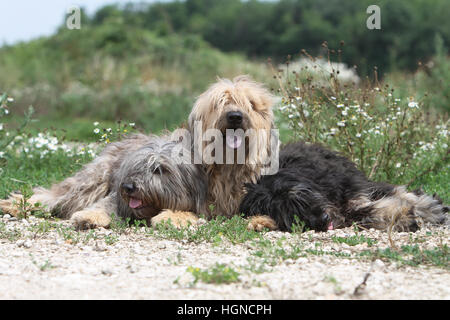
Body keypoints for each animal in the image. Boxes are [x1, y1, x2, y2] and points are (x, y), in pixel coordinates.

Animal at [0, 134, 207, 229]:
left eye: (159, 170)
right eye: (136, 167)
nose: (128, 187)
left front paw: (172, 217)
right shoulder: (117, 196)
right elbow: (105, 204)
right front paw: (90, 217)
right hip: (91, 182)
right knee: (51, 196)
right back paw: (12, 205)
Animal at [239, 141, 446, 231]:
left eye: (301, 196)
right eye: (286, 213)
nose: (323, 219)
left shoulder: (351, 188)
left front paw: (423, 210)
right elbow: (366, 213)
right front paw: (403, 217)